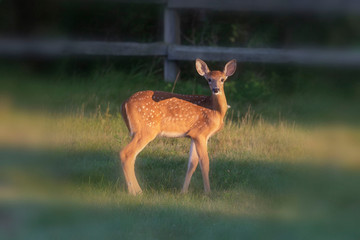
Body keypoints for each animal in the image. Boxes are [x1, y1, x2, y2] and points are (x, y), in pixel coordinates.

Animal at [120, 58, 236, 195]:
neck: (215, 111)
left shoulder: (194, 135)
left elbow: (192, 163)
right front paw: (208, 192)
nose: (216, 89)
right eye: (209, 79)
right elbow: (204, 162)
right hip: (146, 129)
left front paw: (183, 191)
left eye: (222, 79)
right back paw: (137, 192)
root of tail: (124, 103)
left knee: (131, 156)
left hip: (138, 131)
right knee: (126, 154)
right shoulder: (201, 133)